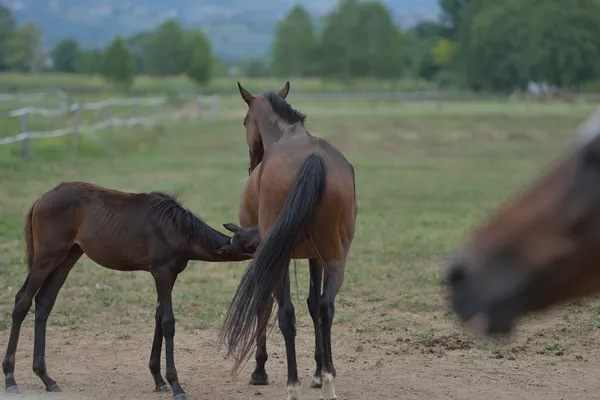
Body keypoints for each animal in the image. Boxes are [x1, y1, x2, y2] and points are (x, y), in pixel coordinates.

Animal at [2, 182, 255, 400]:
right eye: (253, 242)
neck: (175, 228)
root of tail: (41, 200)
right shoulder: (161, 273)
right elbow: (168, 322)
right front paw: (175, 385)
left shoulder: (170, 275)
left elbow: (158, 317)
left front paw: (158, 380)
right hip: (46, 257)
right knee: (23, 301)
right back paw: (10, 378)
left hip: (67, 257)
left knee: (44, 302)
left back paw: (46, 378)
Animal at [219, 82, 356, 400]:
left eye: (245, 121)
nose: (252, 165)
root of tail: (314, 160)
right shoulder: (315, 257)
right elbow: (313, 304)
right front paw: (319, 371)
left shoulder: (265, 253)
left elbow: (264, 305)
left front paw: (259, 370)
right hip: (335, 258)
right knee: (326, 305)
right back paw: (327, 379)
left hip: (281, 258)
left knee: (285, 312)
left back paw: (292, 384)